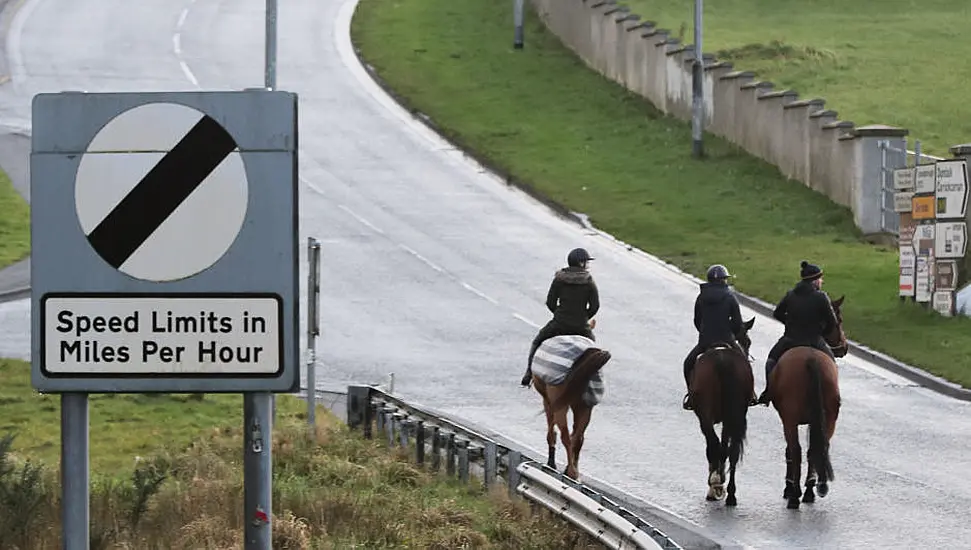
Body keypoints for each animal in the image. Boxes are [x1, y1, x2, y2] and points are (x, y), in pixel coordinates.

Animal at [528, 322, 612, 480]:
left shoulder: (548, 402)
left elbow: (551, 431)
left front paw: (551, 462)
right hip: (585, 408)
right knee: (577, 438)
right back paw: (573, 471)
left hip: (561, 406)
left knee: (565, 436)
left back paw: (570, 471)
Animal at [692, 316, 760, 506]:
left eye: (748, 342)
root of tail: (723, 361)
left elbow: (714, 446)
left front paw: (715, 482)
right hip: (735, 414)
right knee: (733, 451)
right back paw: (731, 495)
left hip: (705, 413)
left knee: (714, 444)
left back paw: (716, 483)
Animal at [772, 296, 848, 512]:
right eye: (839, 320)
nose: (844, 347)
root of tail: (811, 358)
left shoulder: (788, 419)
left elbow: (790, 451)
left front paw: (789, 487)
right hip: (829, 417)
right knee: (818, 448)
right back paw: (813, 489)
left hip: (790, 418)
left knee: (796, 450)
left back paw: (795, 494)